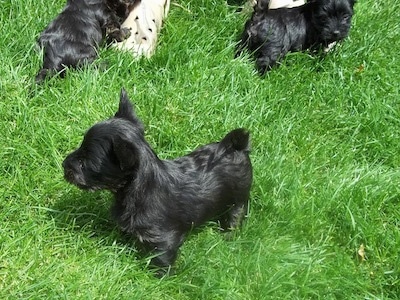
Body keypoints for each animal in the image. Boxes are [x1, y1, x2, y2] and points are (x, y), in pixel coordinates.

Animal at [62, 89, 252, 274]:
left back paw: (229, 236)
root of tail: (235, 147)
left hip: (239, 200)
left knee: (235, 215)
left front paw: (159, 277)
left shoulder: (162, 238)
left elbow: (161, 259)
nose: (64, 164)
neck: (138, 189)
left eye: (84, 162)